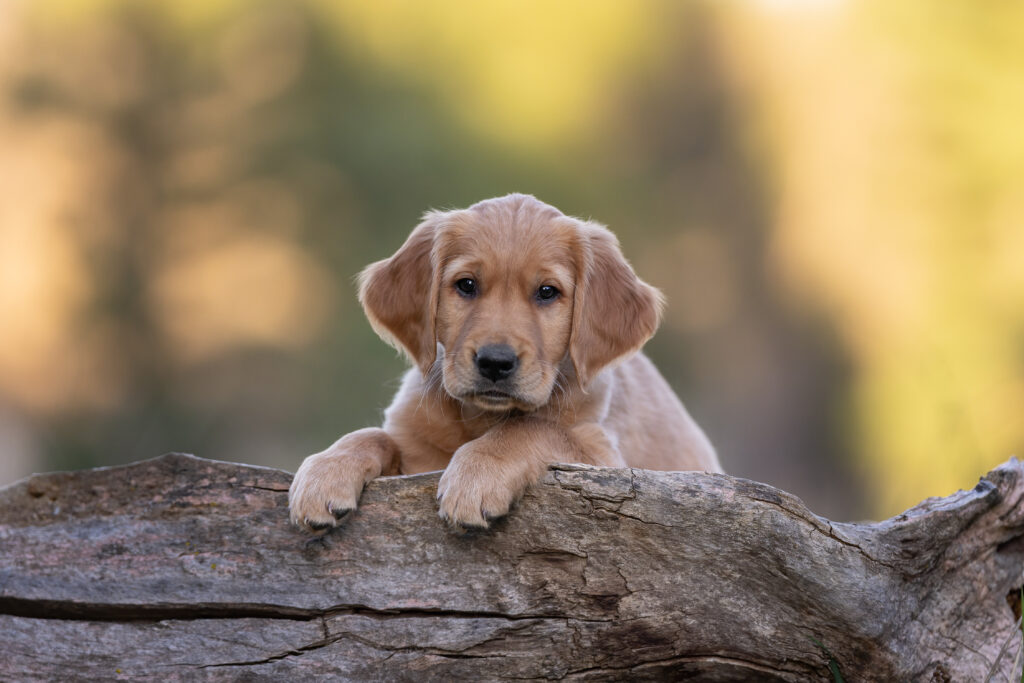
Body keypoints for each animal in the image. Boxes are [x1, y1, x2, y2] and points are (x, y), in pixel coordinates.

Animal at [288, 193, 720, 532]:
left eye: (547, 292)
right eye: (466, 285)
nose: (495, 363)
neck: (481, 417)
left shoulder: (604, 457)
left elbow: (532, 427)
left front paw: (476, 475)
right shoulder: (415, 452)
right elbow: (371, 435)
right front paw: (325, 471)